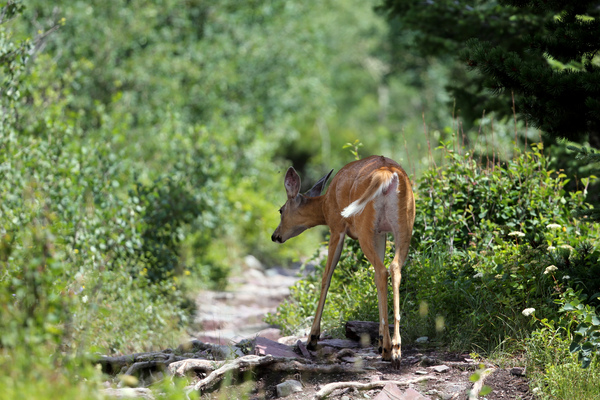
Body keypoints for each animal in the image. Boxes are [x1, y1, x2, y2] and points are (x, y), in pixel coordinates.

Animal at [270, 155, 414, 368]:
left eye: (280, 210)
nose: (275, 236)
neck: (325, 204)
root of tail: (387, 174)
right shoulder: (381, 233)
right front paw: (380, 340)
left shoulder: (336, 227)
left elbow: (326, 277)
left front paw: (312, 338)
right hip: (403, 226)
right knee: (393, 268)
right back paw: (395, 348)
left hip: (364, 226)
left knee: (381, 271)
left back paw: (389, 350)